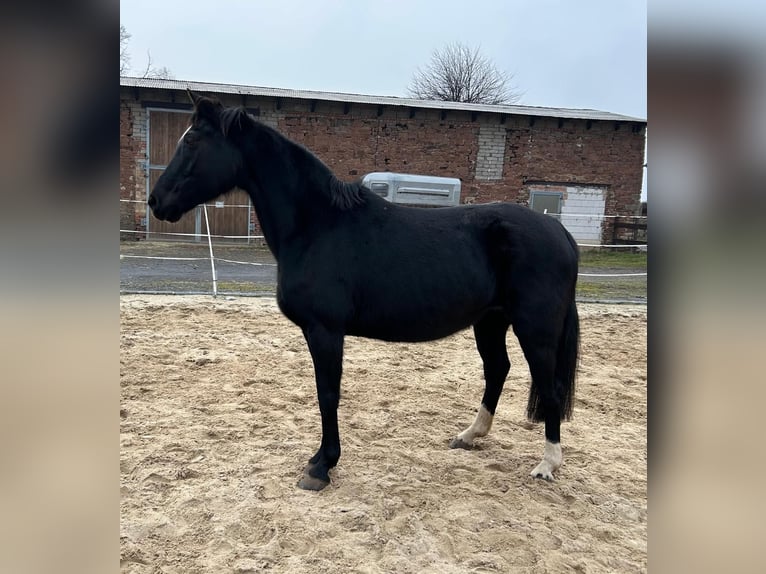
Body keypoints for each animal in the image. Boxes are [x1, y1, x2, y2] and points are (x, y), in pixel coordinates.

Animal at [148, 92, 584, 492]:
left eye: (192, 141)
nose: (156, 201)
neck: (317, 225)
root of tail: (560, 231)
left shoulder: (325, 331)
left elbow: (327, 394)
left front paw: (322, 467)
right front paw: (319, 459)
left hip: (535, 329)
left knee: (549, 386)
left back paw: (548, 464)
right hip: (491, 322)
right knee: (497, 370)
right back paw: (469, 436)